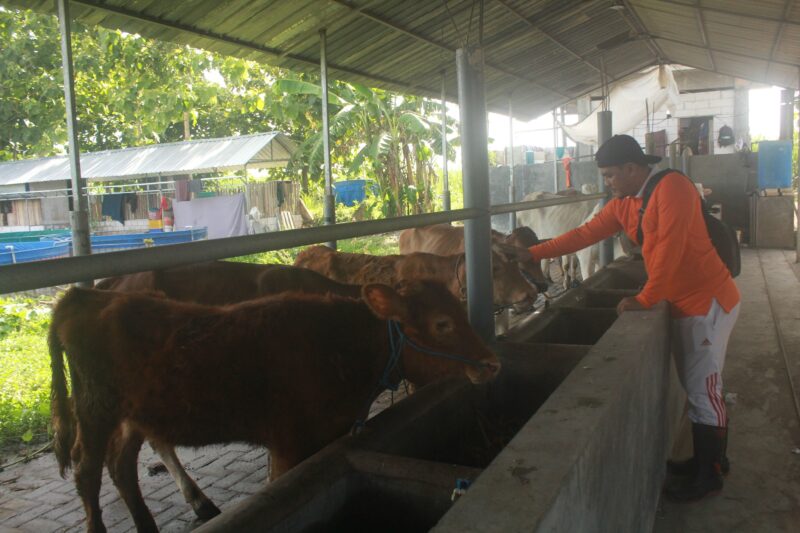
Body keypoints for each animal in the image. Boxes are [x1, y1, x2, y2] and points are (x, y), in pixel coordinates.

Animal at [48, 280, 500, 528]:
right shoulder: (289, 444)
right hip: (95, 408)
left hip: (133, 414)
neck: (343, 345)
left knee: (121, 465)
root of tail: (83, 295)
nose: (492, 363)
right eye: (443, 324)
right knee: (87, 470)